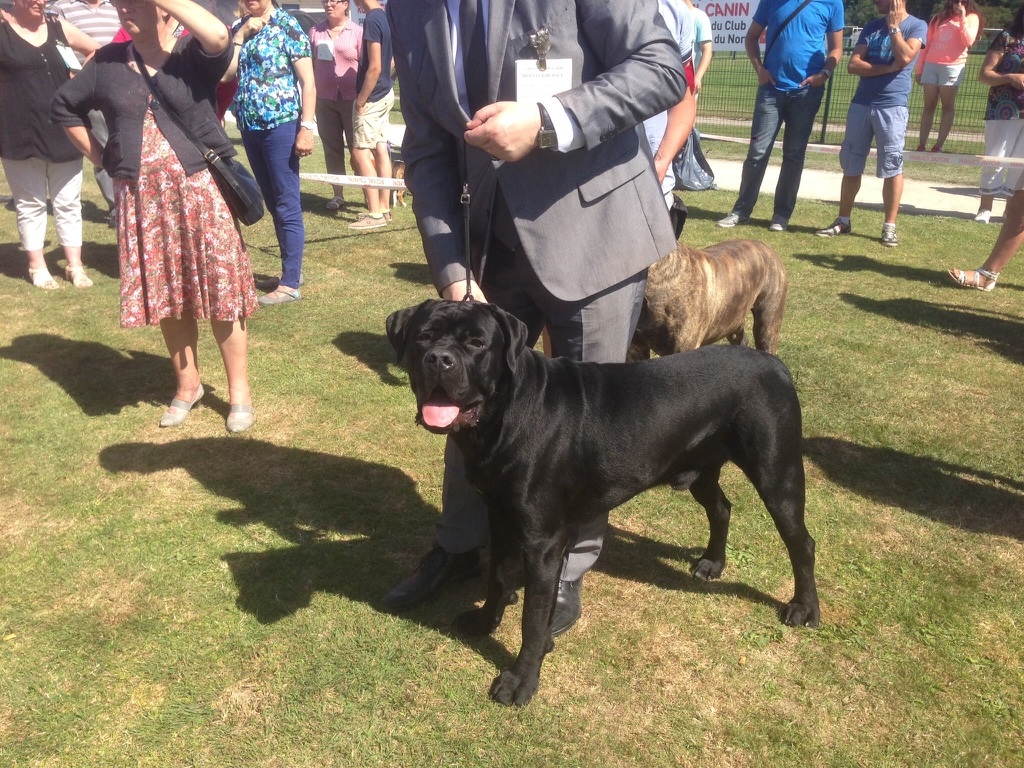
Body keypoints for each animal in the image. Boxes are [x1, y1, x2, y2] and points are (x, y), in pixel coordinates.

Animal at [387, 301, 819, 708]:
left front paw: (520, 682)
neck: (505, 416)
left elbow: (533, 619)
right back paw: (712, 563)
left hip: (776, 472)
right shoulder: (501, 516)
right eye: (424, 337)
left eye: (477, 342)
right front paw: (484, 622)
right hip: (699, 467)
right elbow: (497, 577)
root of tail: (774, 363)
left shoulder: (542, 541)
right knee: (721, 508)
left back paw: (804, 609)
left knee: (801, 543)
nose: (440, 359)